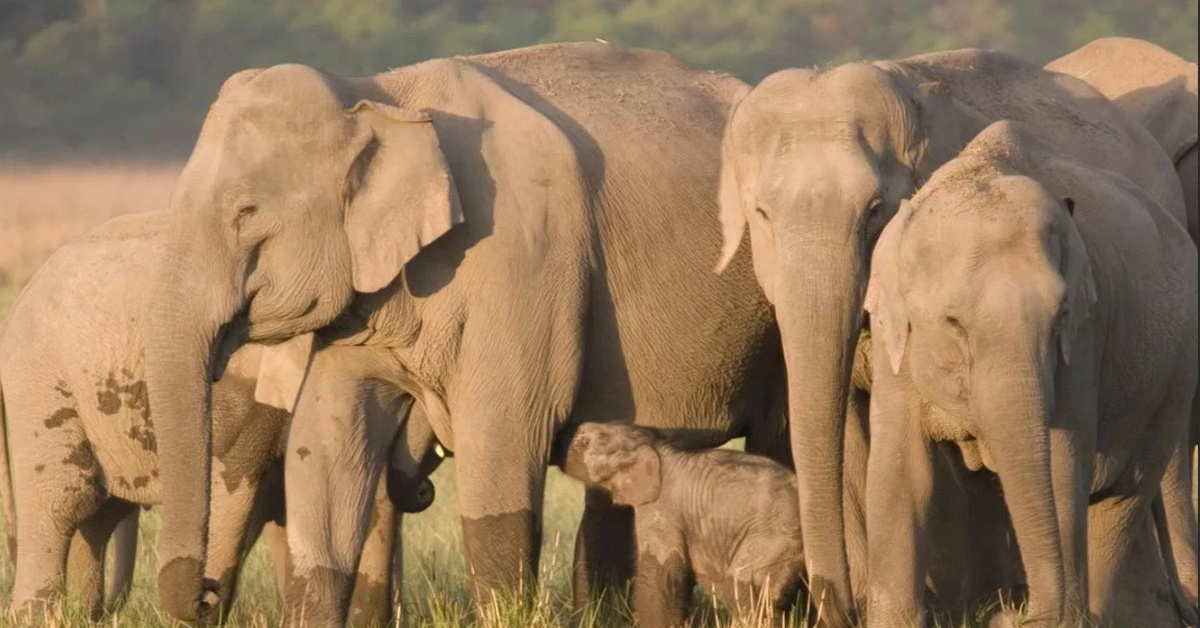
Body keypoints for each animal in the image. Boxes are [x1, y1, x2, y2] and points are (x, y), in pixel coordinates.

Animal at [0, 211, 439, 624]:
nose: (425, 490)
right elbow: (239, 486)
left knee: (99, 513)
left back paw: (81, 614)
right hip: (39, 379)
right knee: (65, 499)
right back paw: (41, 616)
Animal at [561, 422, 806, 628]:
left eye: (584, 442)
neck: (656, 445)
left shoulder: (662, 509)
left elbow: (659, 574)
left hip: (774, 538)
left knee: (742, 587)